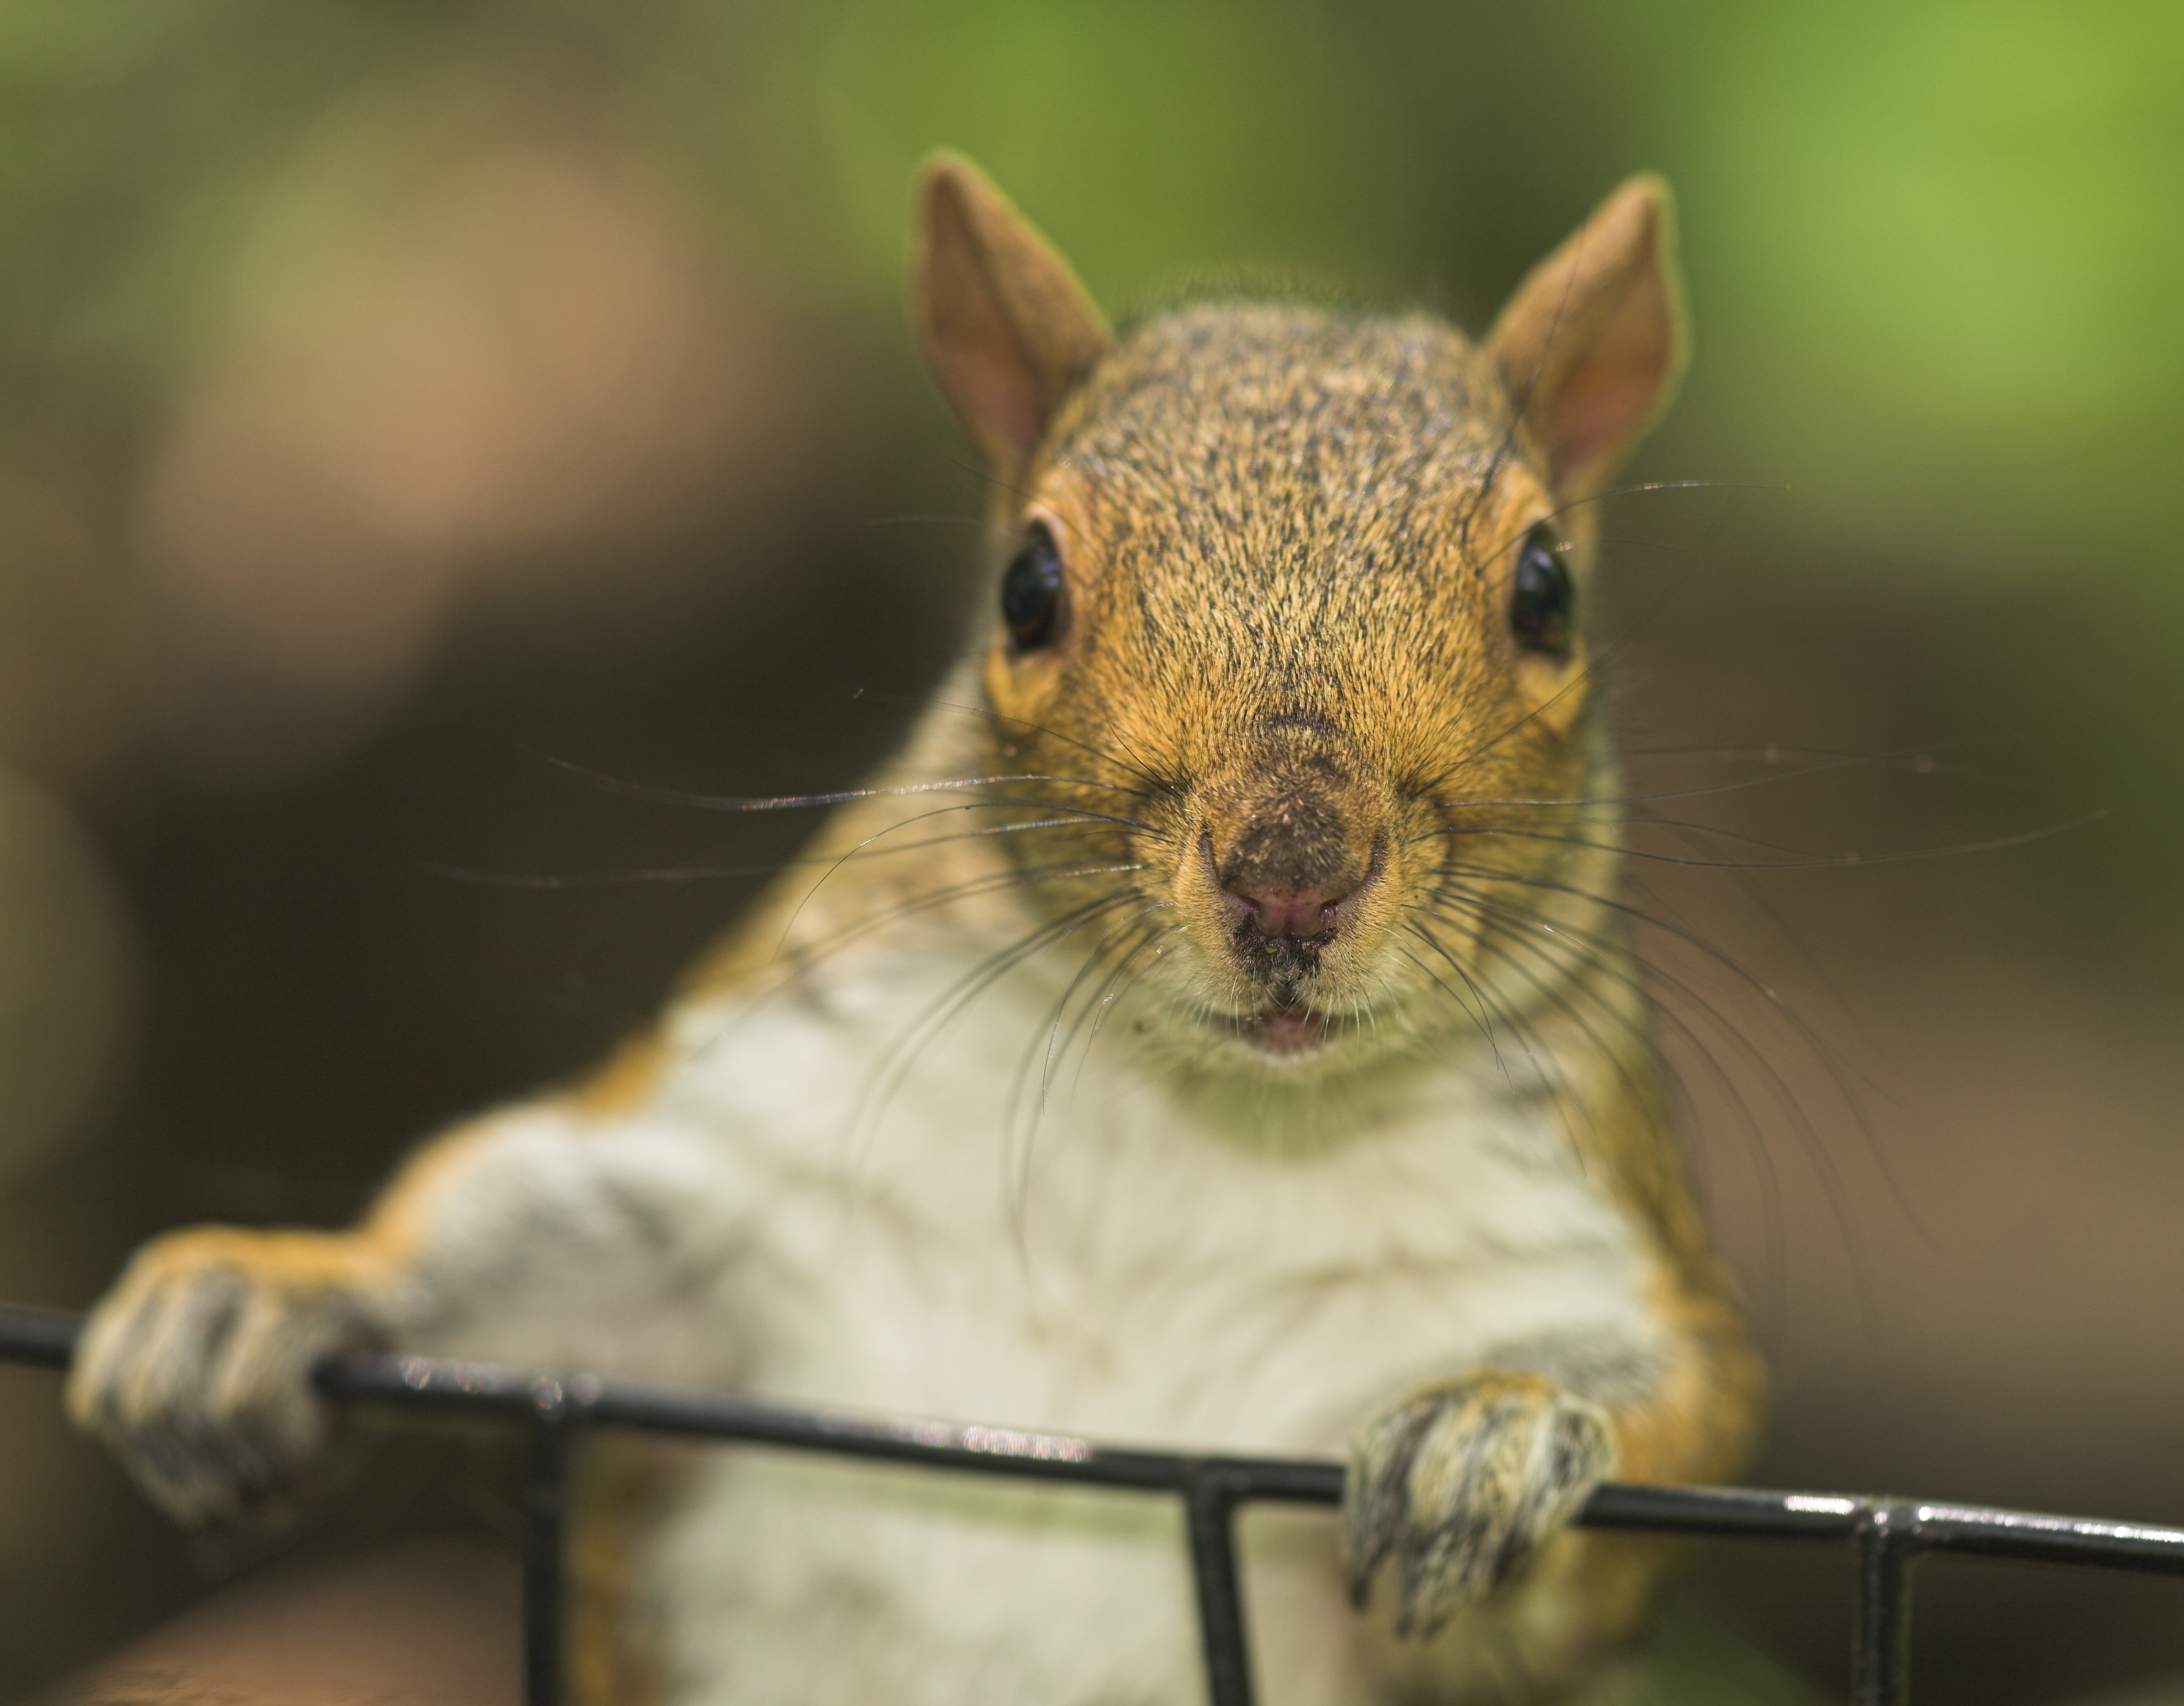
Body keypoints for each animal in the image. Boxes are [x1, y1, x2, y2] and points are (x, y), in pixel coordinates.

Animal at [67, 156, 1764, 1704]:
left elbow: (1670, 1432)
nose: (1291, 872)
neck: (1197, 1121)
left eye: (1545, 590)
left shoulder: (1584, 1250)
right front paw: (266, 1293)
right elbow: (526, 1228)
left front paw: (1501, 1426)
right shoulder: (736, 1174)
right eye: (1025, 585)